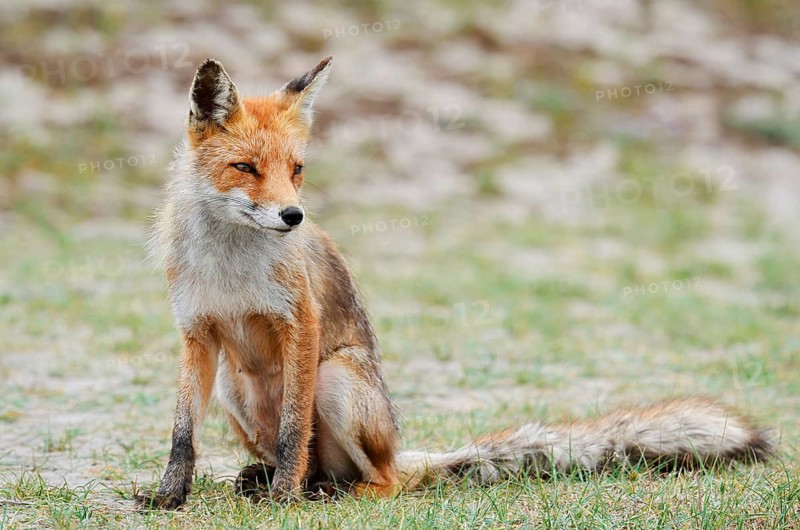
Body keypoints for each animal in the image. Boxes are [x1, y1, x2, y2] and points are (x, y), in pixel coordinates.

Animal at [138, 56, 774, 509]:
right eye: (245, 168)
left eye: (297, 170)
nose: (293, 216)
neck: (230, 265)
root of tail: (400, 449)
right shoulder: (196, 334)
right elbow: (182, 435)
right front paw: (169, 497)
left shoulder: (302, 323)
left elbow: (295, 431)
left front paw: (284, 502)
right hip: (233, 384)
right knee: (310, 462)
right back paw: (267, 479)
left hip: (334, 377)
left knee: (381, 479)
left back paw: (325, 492)